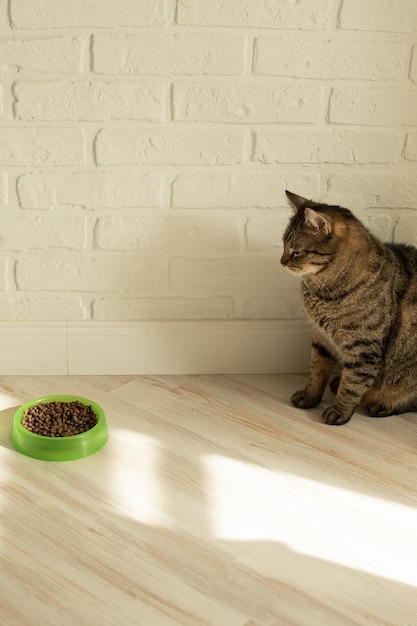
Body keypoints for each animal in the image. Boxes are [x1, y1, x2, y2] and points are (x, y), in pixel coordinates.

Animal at [282, 189, 417, 424]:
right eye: (283, 245)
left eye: (295, 251)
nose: (281, 261)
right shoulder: (321, 338)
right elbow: (316, 370)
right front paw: (309, 397)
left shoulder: (364, 349)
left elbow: (352, 385)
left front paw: (340, 411)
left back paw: (383, 405)